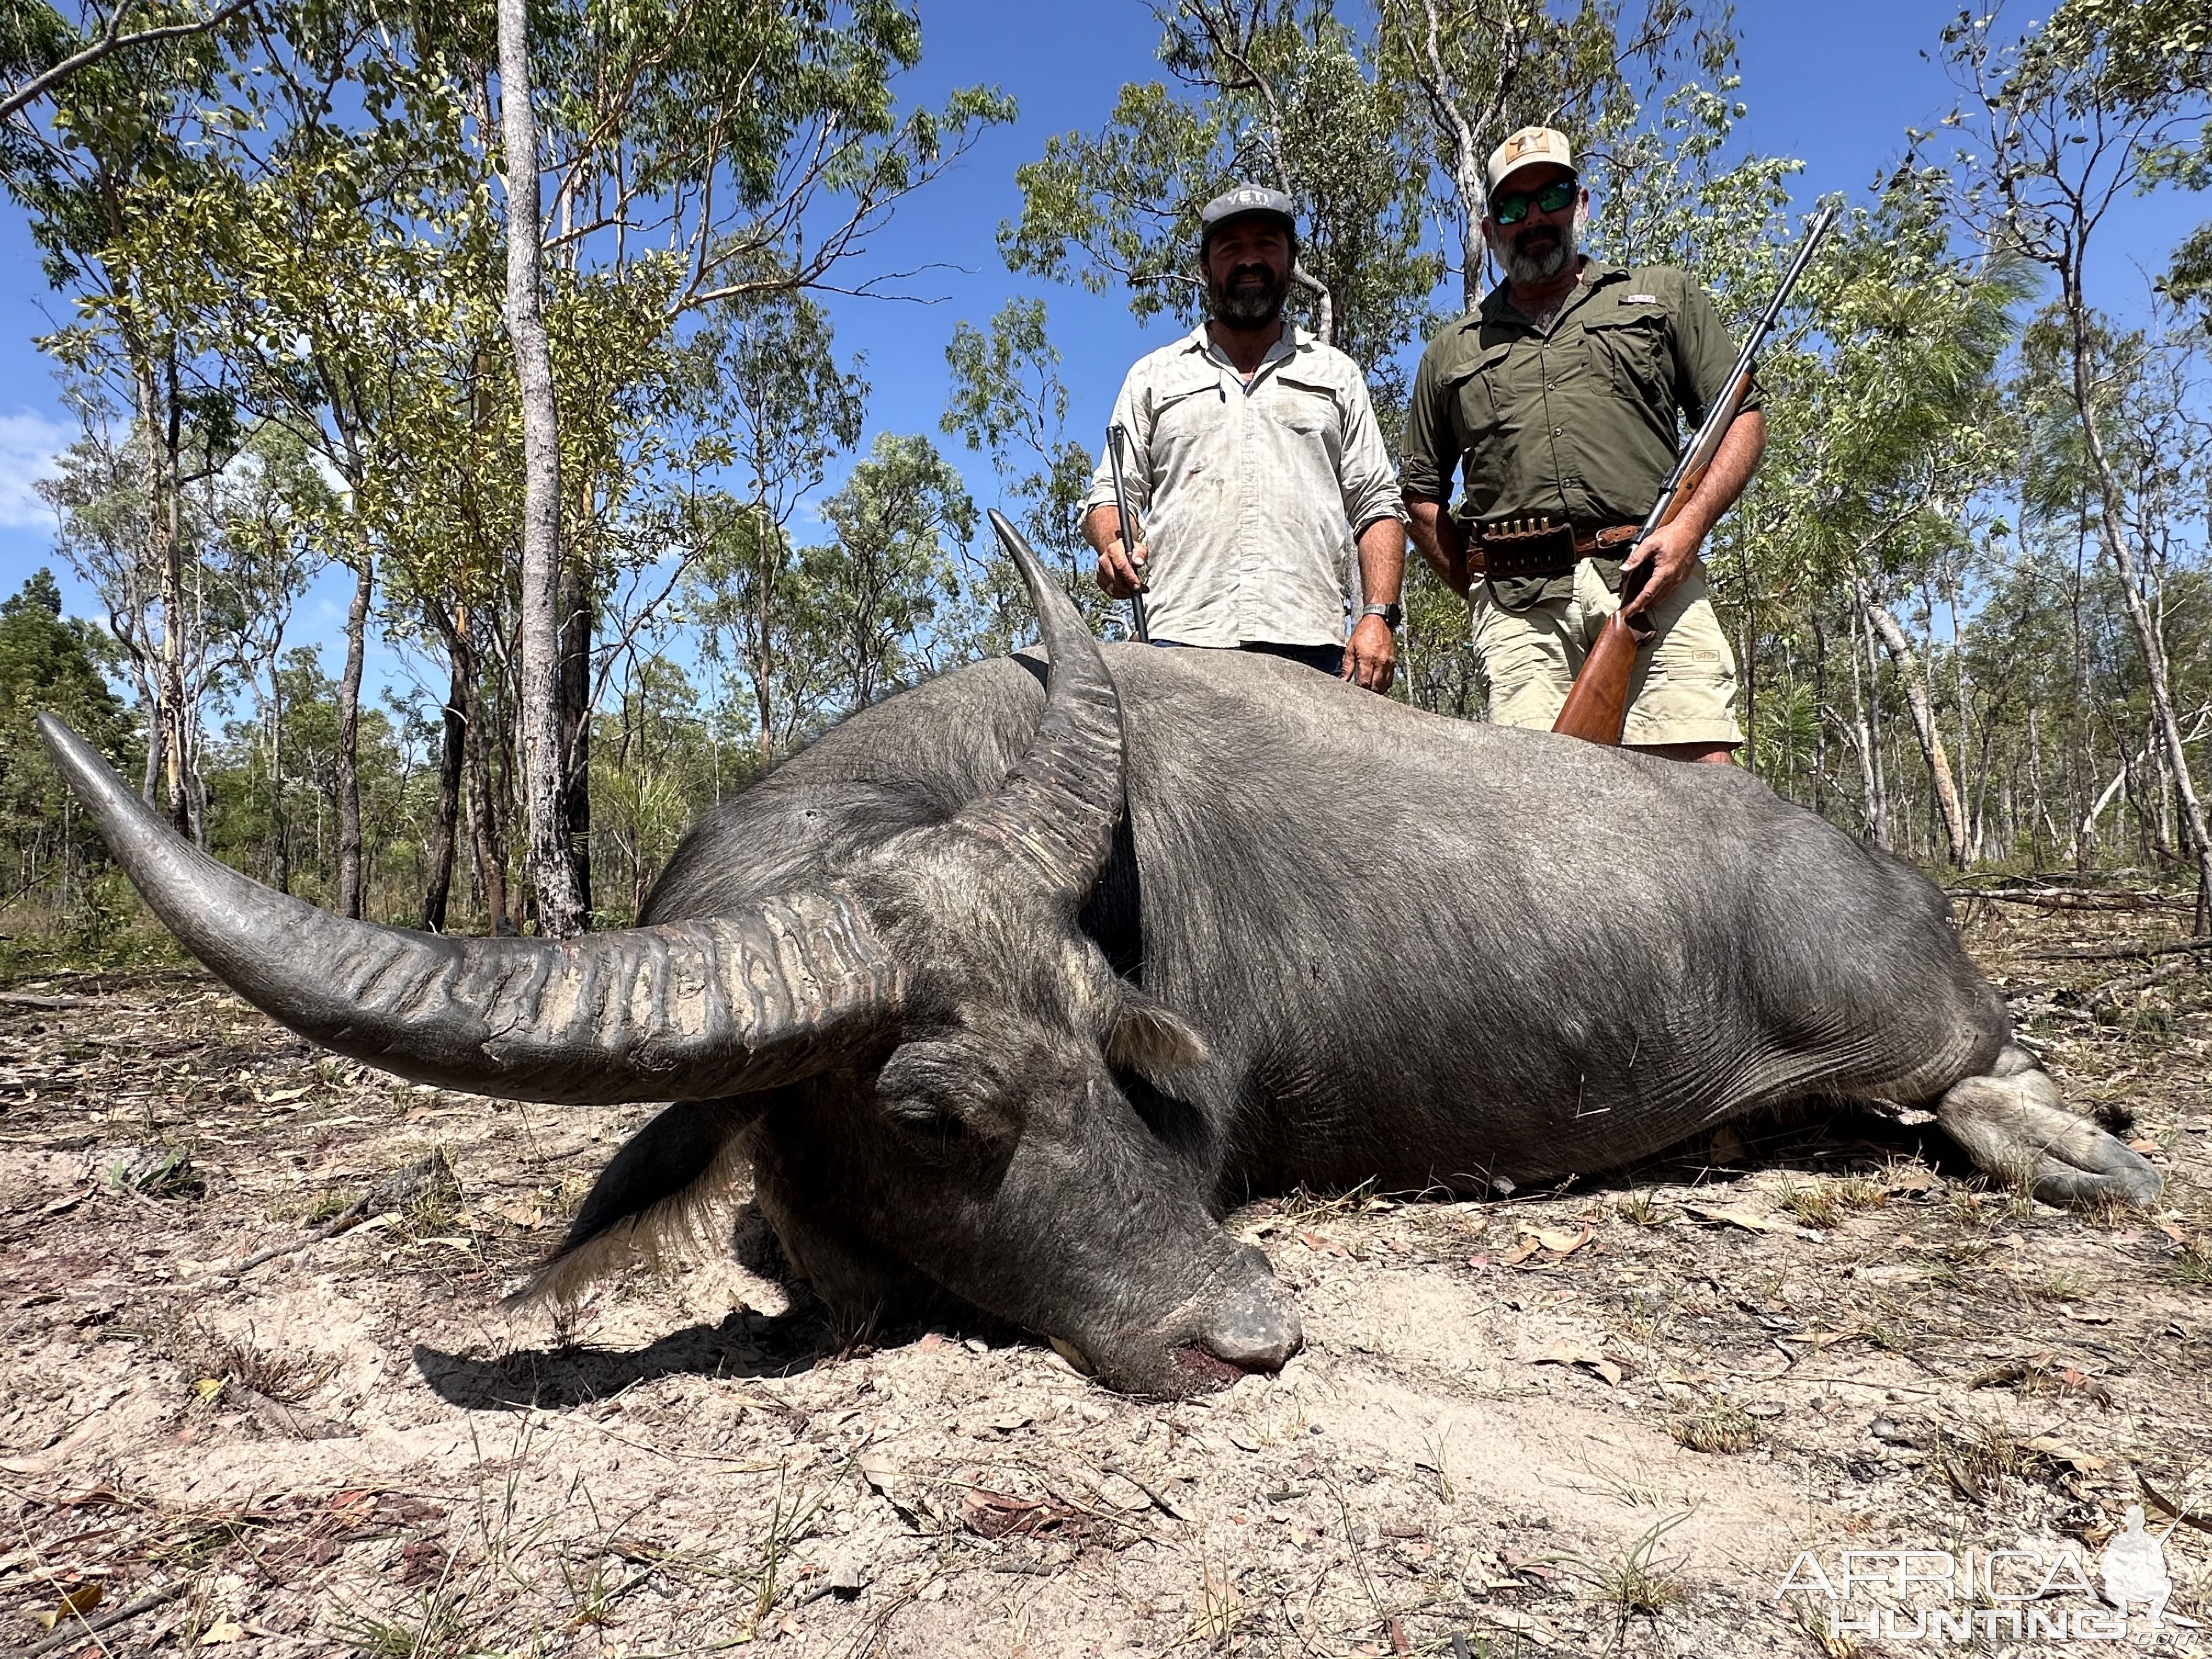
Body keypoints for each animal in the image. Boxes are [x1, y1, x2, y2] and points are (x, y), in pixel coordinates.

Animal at [43, 513, 2159, 1398]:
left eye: (1109, 1047)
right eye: (927, 1108)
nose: (1250, 1336)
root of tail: (1872, 864)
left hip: (1911, 1022)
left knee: (1983, 1079)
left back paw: (2079, 1153)